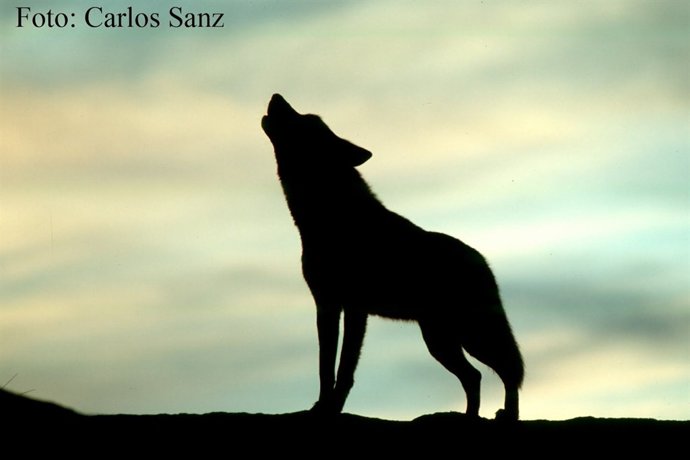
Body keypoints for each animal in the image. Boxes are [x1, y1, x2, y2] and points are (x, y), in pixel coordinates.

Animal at [261, 94, 524, 420]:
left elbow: (344, 370)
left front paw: (334, 408)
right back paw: (469, 417)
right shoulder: (326, 306)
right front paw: (321, 407)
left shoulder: (355, 308)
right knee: (474, 376)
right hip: (440, 342)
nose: (276, 96)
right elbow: (325, 367)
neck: (330, 218)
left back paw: (507, 416)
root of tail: (483, 261)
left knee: (508, 371)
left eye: (307, 120)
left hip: (471, 335)